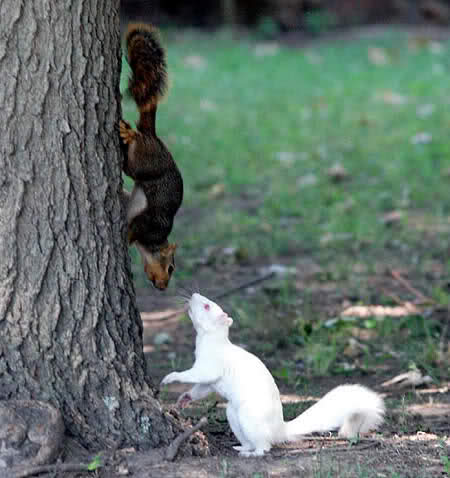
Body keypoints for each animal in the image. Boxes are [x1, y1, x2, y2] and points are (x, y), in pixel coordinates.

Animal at [160, 294, 384, 458]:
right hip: (233, 415)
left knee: (264, 446)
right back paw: (242, 448)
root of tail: (279, 430)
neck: (211, 340)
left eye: (207, 306)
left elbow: (196, 375)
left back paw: (253, 454)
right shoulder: (210, 379)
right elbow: (201, 389)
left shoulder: (210, 366)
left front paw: (170, 377)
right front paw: (184, 399)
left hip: (249, 417)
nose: (193, 295)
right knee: (252, 442)